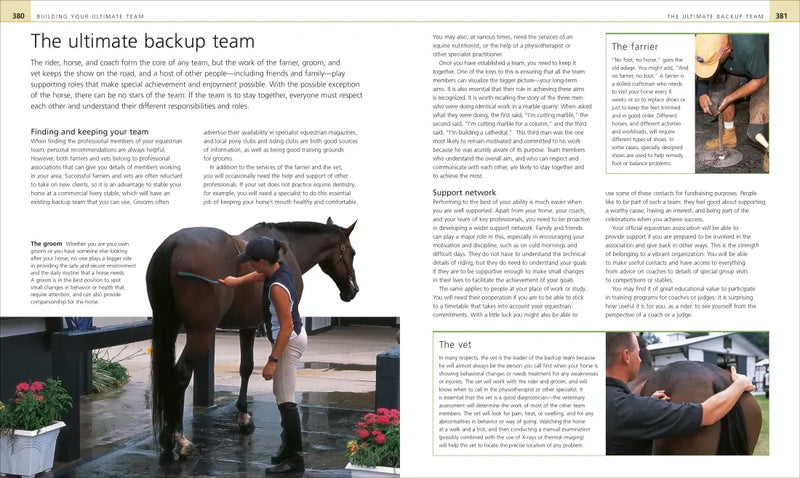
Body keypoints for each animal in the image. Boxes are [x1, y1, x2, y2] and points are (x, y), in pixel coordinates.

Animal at [146, 218, 358, 459]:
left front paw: (244, 417)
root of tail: (174, 244)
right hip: (200, 332)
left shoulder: (247, 326)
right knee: (180, 374)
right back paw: (181, 440)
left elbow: (246, 367)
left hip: (170, 325)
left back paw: (167, 435)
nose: (353, 290)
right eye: (352, 252)